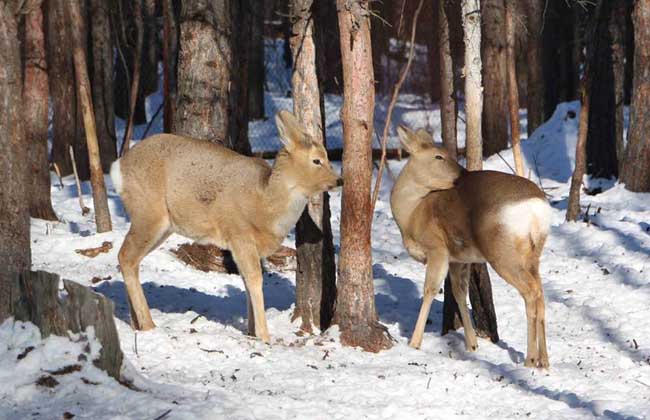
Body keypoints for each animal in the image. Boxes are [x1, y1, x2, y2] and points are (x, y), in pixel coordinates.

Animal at [109, 110, 342, 342]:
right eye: (317, 160)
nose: (339, 180)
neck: (265, 206)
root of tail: (117, 168)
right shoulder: (239, 234)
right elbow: (255, 279)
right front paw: (264, 336)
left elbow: (246, 281)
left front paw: (251, 332)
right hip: (148, 212)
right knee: (125, 256)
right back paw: (148, 324)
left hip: (162, 225)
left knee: (130, 260)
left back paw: (136, 323)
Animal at [390, 125, 552, 368]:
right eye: (438, 156)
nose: (462, 174)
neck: (412, 214)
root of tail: (537, 208)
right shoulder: (459, 258)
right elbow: (459, 292)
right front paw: (472, 344)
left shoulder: (437, 248)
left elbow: (430, 290)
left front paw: (414, 343)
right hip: (533, 254)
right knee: (540, 292)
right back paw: (545, 361)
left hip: (503, 253)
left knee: (531, 292)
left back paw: (531, 359)